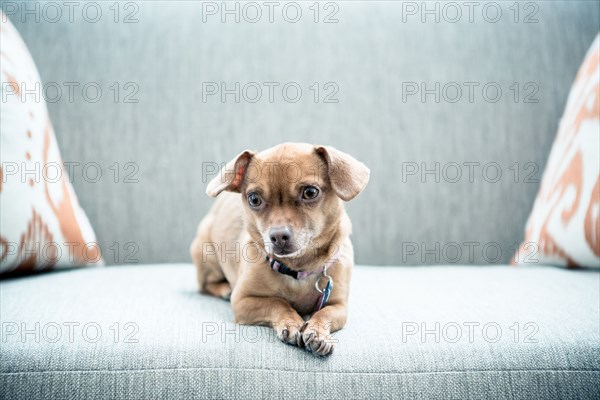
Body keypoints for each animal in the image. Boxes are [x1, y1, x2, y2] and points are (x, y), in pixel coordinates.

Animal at [190, 142, 368, 354]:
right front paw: (291, 323)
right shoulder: (242, 301)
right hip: (206, 254)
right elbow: (277, 302)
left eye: (310, 192)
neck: (297, 268)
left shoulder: (338, 305)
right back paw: (224, 289)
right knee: (206, 285)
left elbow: (324, 313)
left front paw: (318, 332)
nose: (278, 236)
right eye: (254, 199)